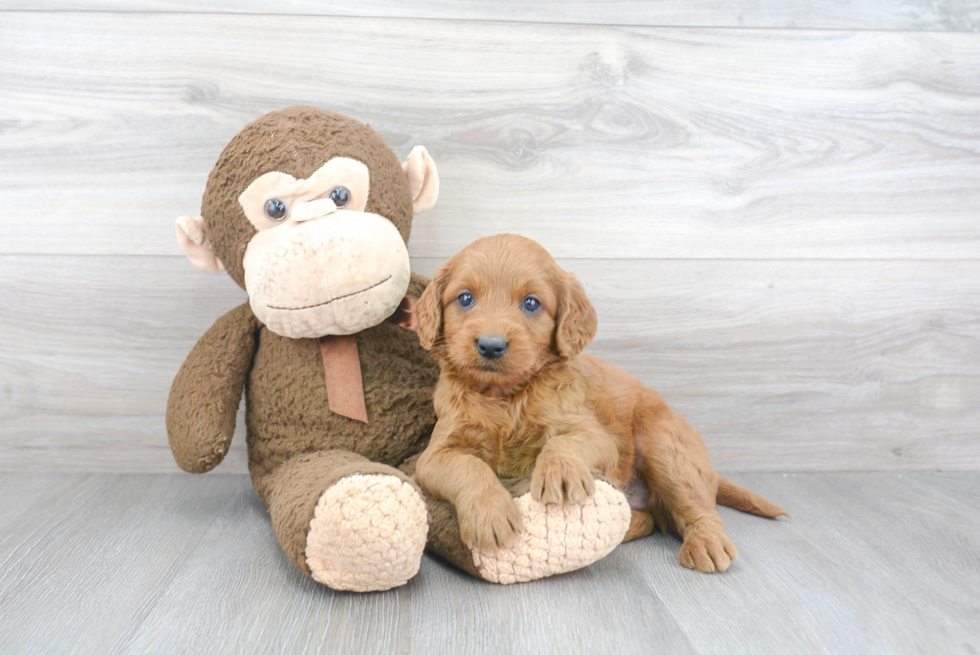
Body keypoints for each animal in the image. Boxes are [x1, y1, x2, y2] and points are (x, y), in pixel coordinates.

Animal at [414, 233, 788, 572]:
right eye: (465, 299)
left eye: (531, 303)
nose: (491, 345)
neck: (505, 396)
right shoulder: (435, 454)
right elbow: (468, 466)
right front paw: (490, 514)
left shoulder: (595, 434)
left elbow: (564, 442)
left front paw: (561, 472)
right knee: (650, 519)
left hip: (665, 446)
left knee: (699, 509)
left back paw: (707, 543)